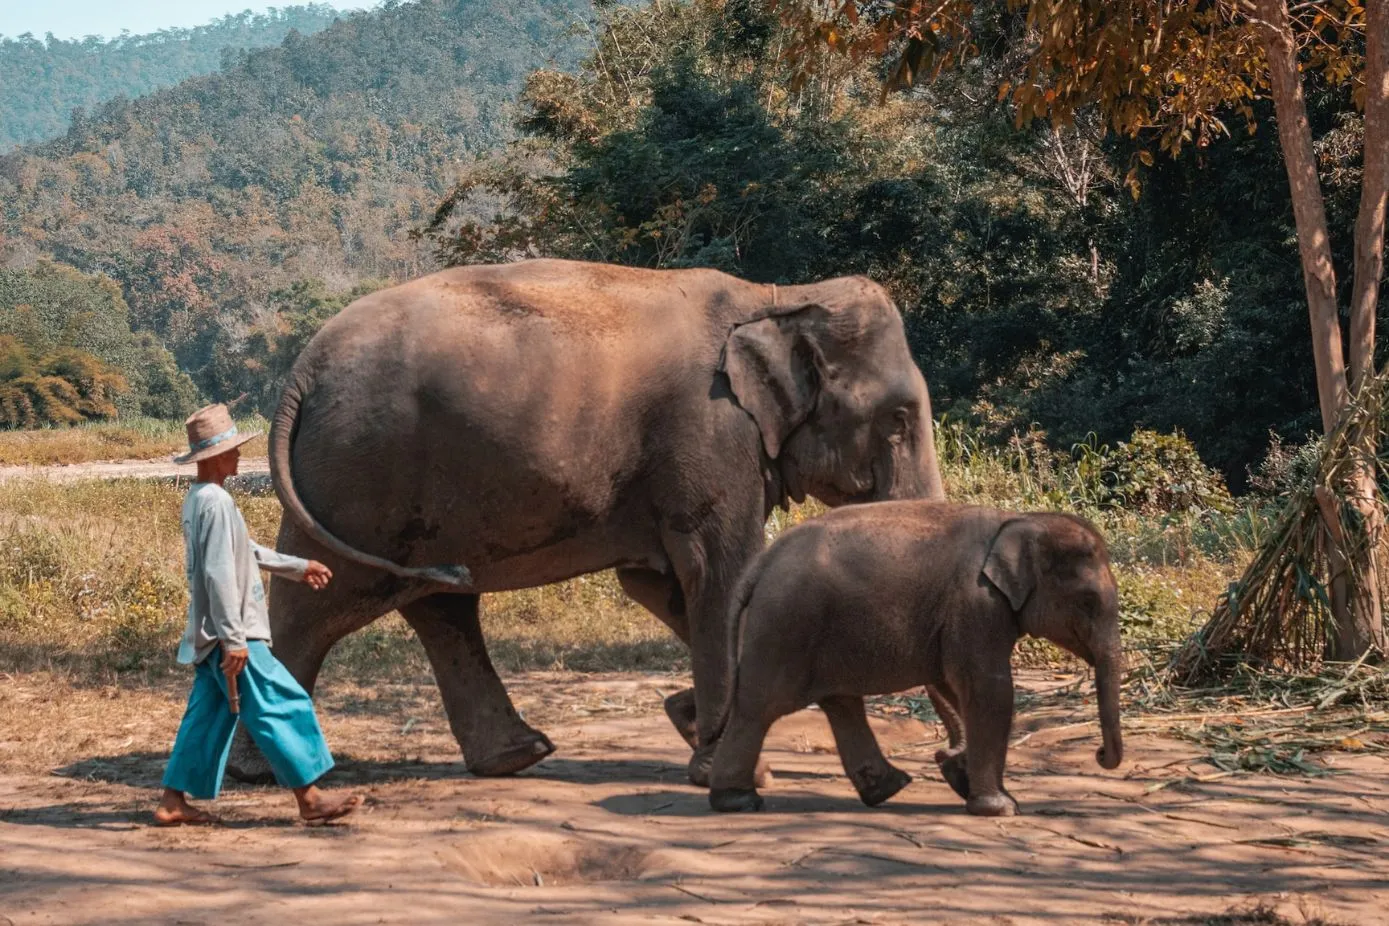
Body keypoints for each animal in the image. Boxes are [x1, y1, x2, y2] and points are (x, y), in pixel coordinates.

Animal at [230, 256, 944, 788]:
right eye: (899, 420)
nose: (946, 764)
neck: (781, 296)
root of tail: (299, 375)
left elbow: (662, 584)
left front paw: (691, 723)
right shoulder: (711, 435)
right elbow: (719, 573)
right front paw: (725, 763)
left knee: (436, 602)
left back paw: (517, 756)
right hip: (361, 475)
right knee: (319, 602)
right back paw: (265, 773)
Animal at [711, 502, 1122, 816]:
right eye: (1088, 602)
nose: (1100, 752)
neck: (1018, 520)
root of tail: (761, 563)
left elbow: (956, 686)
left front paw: (959, 775)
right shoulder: (977, 604)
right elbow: (989, 690)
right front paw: (1001, 808)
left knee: (840, 703)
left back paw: (887, 789)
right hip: (785, 626)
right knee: (760, 707)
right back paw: (738, 800)